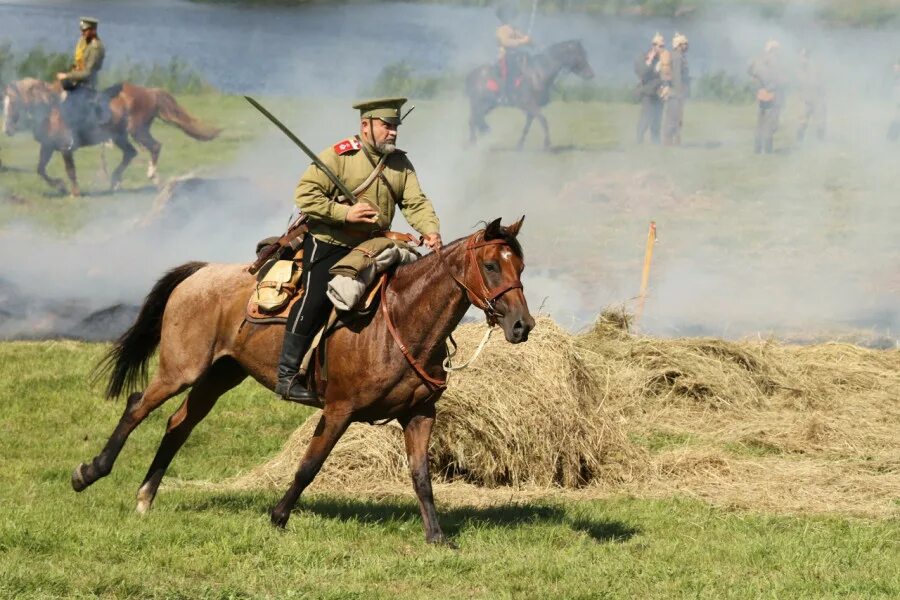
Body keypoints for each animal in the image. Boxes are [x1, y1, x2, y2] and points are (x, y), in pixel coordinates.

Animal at [2, 77, 221, 197]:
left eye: (13, 102)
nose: (7, 130)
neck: (50, 108)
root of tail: (149, 92)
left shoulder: (65, 148)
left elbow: (70, 170)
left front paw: (74, 192)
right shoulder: (47, 147)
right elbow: (40, 169)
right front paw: (61, 187)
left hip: (138, 131)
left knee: (155, 147)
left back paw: (152, 176)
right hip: (119, 136)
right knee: (131, 153)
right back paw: (115, 181)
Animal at [74, 218, 536, 548]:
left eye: (520, 266)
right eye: (491, 265)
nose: (522, 325)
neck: (401, 319)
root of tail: (201, 272)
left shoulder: (420, 414)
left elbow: (421, 476)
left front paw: (437, 536)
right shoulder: (339, 410)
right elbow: (309, 465)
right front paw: (278, 516)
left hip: (221, 375)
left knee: (178, 424)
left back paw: (145, 496)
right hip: (180, 370)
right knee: (138, 405)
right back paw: (89, 472)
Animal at [468, 39, 596, 149]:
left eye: (585, 53)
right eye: (578, 55)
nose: (590, 74)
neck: (538, 73)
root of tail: (472, 74)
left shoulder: (532, 109)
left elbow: (527, 127)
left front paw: (519, 145)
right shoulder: (529, 105)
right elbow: (544, 121)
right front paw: (546, 144)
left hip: (488, 106)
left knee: (476, 119)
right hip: (479, 104)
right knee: (473, 119)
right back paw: (474, 141)